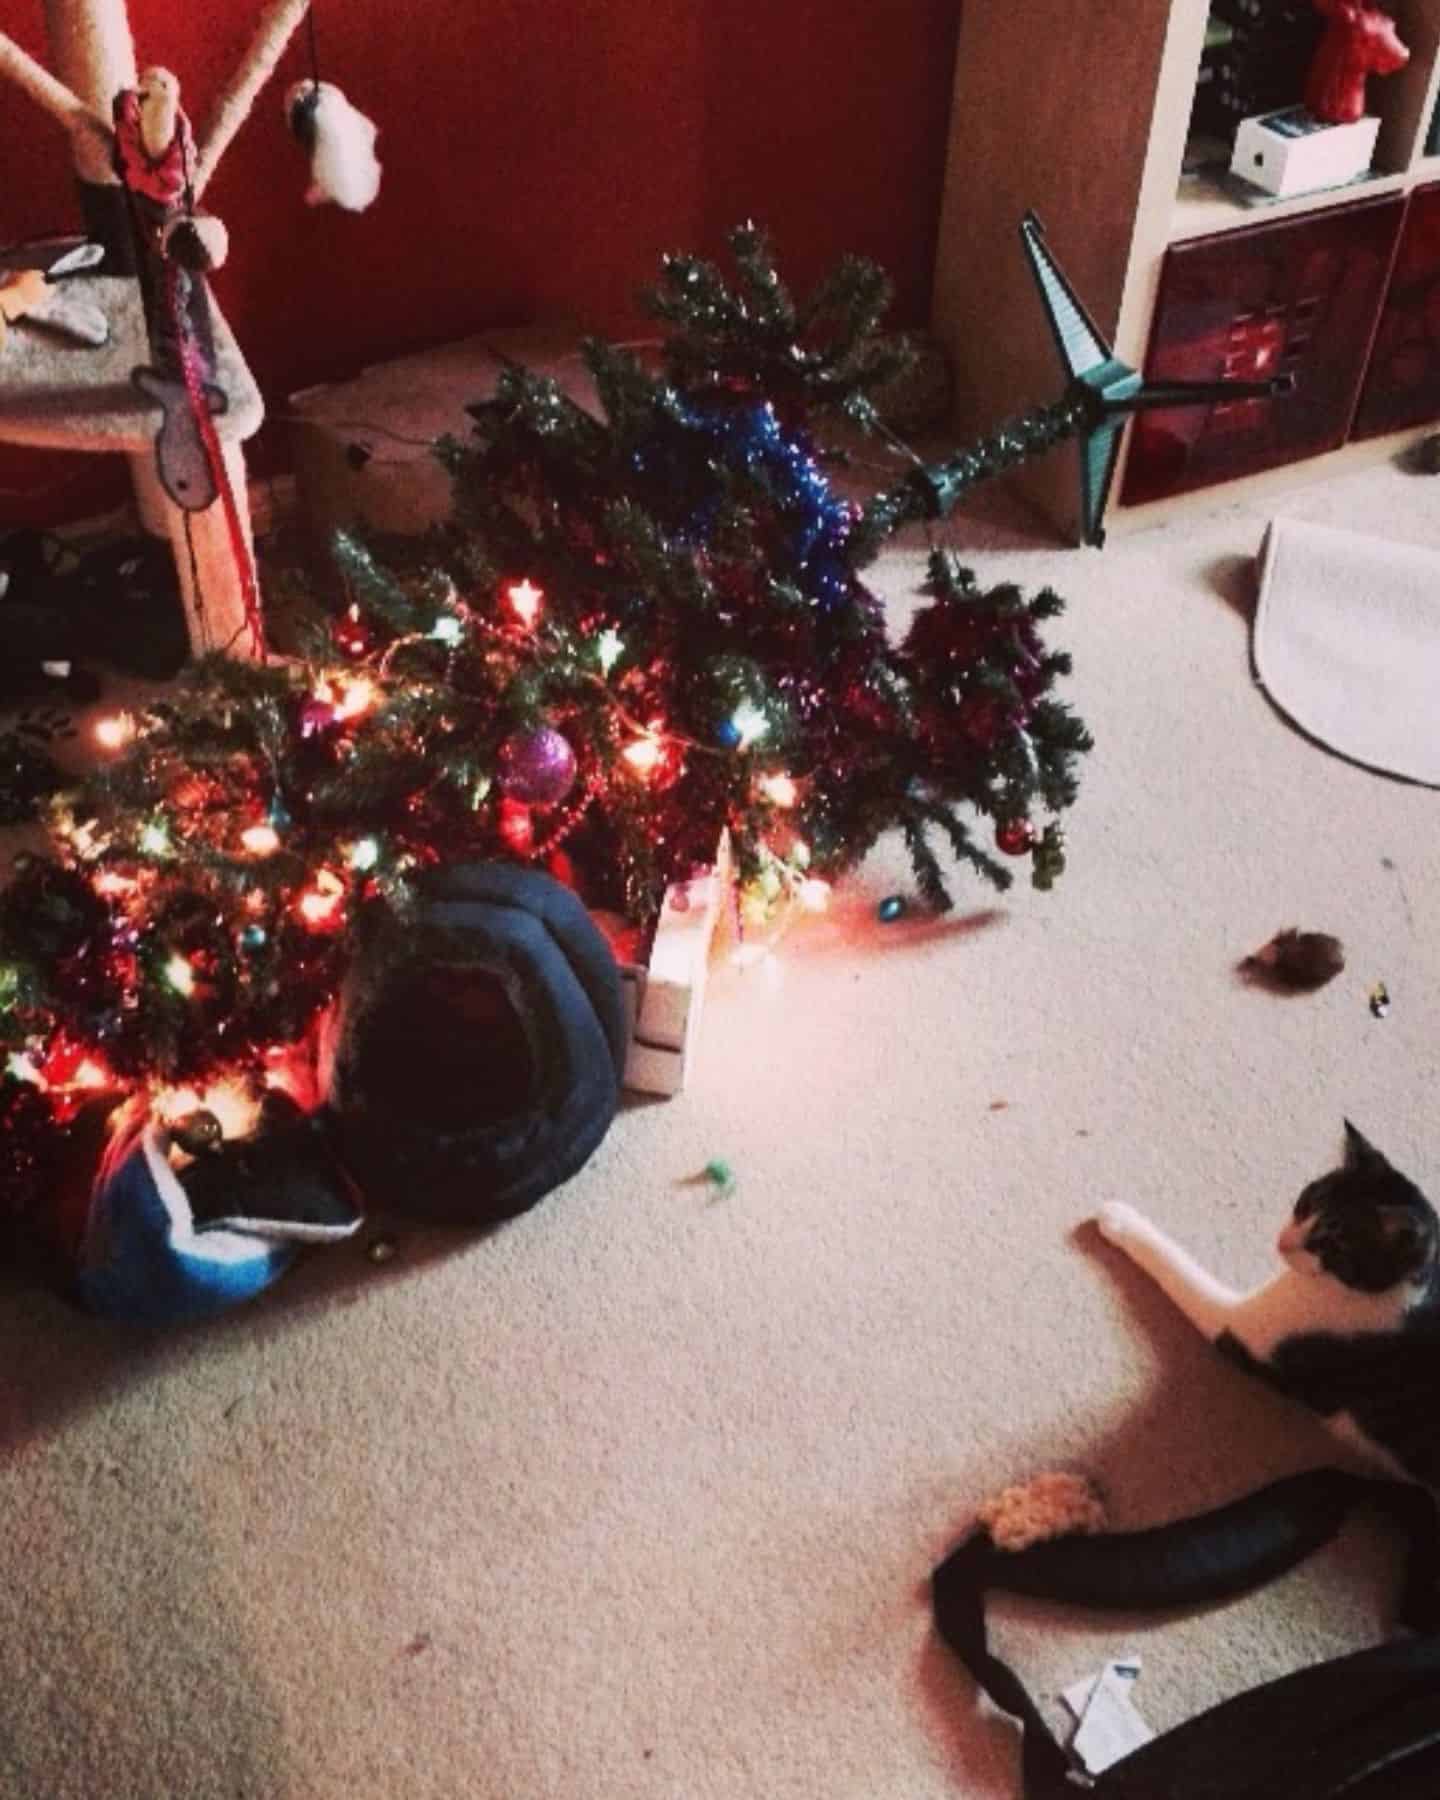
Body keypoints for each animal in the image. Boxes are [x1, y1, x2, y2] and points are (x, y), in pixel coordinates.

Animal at [1094, 1123, 1432, 1490]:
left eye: (1334, 1244)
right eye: (1307, 1199)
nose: (1283, 1242)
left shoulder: (1247, 1327)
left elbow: (1177, 1264)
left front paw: (1118, 1218)